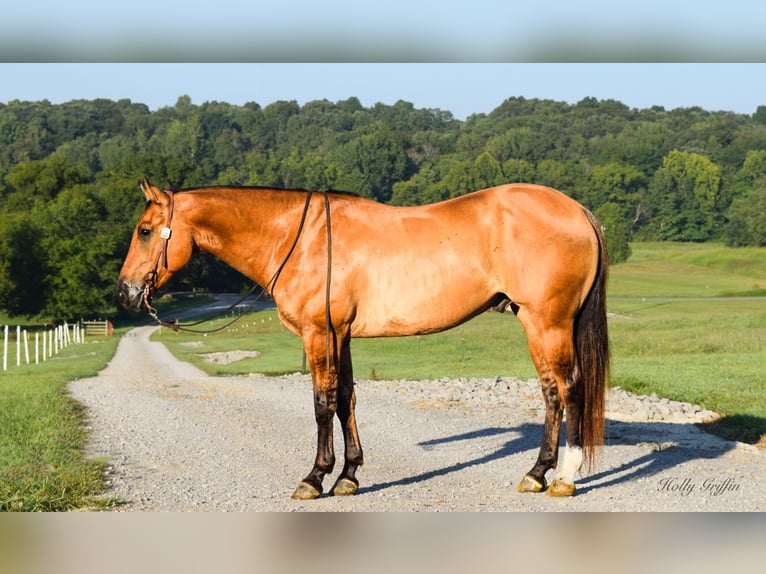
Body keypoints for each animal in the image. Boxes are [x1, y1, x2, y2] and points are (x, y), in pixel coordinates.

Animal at [117, 180, 608, 500]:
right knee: (551, 394)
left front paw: (315, 478)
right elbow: (346, 400)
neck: (299, 238)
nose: (125, 293)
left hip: (548, 322)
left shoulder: (319, 334)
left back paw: (563, 477)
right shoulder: (341, 336)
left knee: (569, 389)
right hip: (537, 323)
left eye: (145, 231)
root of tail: (577, 210)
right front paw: (349, 476)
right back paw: (537, 473)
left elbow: (321, 404)